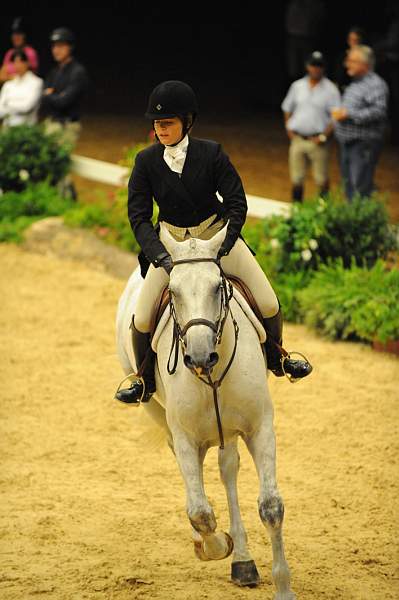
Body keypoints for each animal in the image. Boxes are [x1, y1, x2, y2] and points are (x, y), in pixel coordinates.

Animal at [115, 223, 296, 596]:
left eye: (217, 286)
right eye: (173, 292)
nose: (199, 356)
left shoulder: (259, 427)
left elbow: (271, 506)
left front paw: (283, 588)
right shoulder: (185, 435)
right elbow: (199, 510)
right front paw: (216, 544)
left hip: (228, 427)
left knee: (227, 470)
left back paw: (243, 563)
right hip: (157, 412)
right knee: (193, 475)